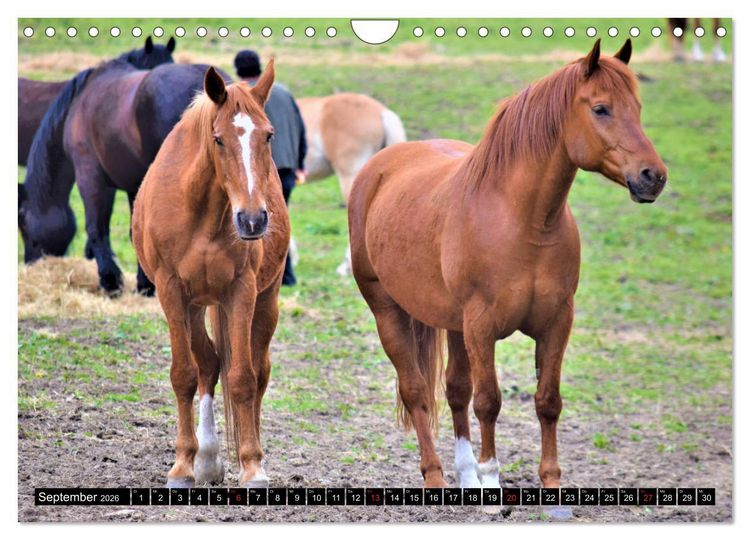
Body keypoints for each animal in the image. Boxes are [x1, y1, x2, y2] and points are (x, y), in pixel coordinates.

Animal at [18, 52, 230, 297]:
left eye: (23, 223)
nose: (30, 263)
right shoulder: (133, 184)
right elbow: (135, 231)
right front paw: (145, 285)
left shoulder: (92, 179)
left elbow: (97, 228)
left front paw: (110, 282)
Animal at [132, 63, 290, 488]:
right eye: (218, 139)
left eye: (268, 135)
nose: (252, 220)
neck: (201, 210)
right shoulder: (171, 291)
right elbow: (185, 374)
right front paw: (184, 465)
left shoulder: (241, 291)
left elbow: (243, 378)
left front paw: (252, 467)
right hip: (194, 305)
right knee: (207, 364)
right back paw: (206, 458)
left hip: (263, 302)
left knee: (256, 370)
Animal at [349, 39, 668, 489]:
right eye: (601, 108)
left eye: (636, 107)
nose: (653, 176)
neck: (525, 221)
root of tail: (377, 169)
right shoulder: (482, 326)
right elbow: (488, 402)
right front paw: (491, 480)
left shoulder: (556, 322)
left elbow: (547, 401)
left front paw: (549, 482)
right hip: (387, 310)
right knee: (416, 391)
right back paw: (435, 476)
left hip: (453, 325)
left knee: (454, 390)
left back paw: (465, 478)